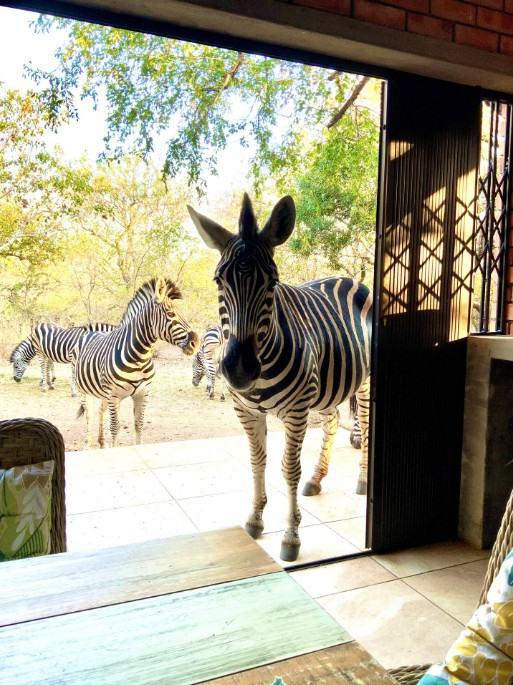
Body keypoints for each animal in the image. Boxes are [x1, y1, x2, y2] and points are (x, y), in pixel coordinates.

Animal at [73, 277, 198, 448]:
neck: (139, 358)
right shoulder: (113, 395)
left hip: (103, 392)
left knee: (100, 411)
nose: (196, 342)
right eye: (171, 314)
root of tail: (90, 331)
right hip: (83, 390)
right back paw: (88, 443)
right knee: (89, 416)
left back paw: (101, 442)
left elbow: (139, 425)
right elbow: (115, 427)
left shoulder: (143, 394)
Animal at [188, 194, 372, 562]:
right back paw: (316, 479)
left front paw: (290, 536)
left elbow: (288, 469)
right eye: (219, 281)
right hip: (326, 387)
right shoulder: (246, 411)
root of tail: (349, 278)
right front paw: (255, 519)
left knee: (368, 425)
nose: (239, 369)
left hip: (365, 382)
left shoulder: (296, 412)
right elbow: (257, 462)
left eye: (272, 283)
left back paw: (361, 481)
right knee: (332, 422)